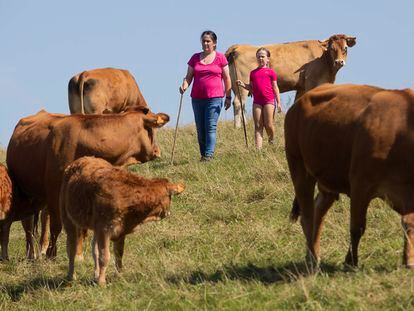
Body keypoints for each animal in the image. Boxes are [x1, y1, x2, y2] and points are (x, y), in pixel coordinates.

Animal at [6, 108, 169, 260]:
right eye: (153, 127)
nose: (157, 151)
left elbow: (81, 228)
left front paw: (78, 255)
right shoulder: (54, 193)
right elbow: (56, 226)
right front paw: (52, 255)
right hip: (26, 193)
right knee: (28, 224)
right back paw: (32, 253)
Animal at [59, 157, 184, 286]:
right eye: (169, 197)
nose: (168, 213)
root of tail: (80, 160)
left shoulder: (120, 231)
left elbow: (118, 254)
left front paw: (118, 276)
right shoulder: (104, 230)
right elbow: (104, 256)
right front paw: (102, 282)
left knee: (94, 249)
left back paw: (95, 275)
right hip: (68, 219)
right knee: (71, 248)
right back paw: (71, 276)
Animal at [225, 35, 358, 129]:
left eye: (345, 48)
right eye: (332, 48)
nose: (339, 62)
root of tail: (237, 47)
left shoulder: (301, 87)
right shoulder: (311, 83)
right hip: (242, 84)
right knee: (238, 103)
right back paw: (237, 127)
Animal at [284, 83, 414, 270]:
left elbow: (409, 223)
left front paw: (408, 260)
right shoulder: (360, 183)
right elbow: (357, 227)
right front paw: (350, 262)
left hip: (327, 181)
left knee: (318, 212)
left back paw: (313, 255)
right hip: (299, 167)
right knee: (307, 216)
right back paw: (312, 260)